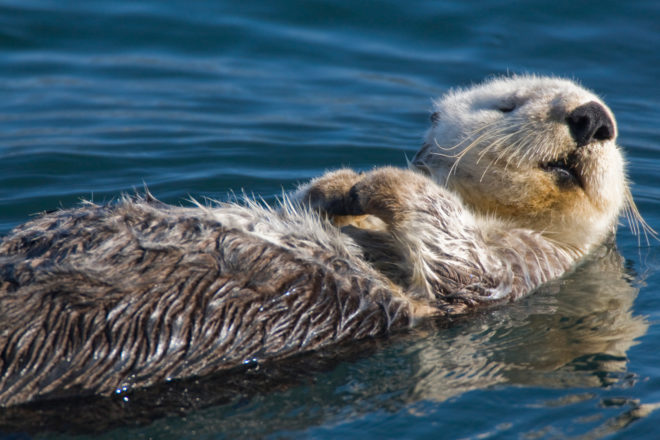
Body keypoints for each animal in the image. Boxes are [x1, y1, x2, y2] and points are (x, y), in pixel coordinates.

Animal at [0, 75, 646, 407]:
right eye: (506, 105)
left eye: (608, 127)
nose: (593, 119)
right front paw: (334, 189)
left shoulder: (528, 266)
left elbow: (460, 258)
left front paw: (374, 182)